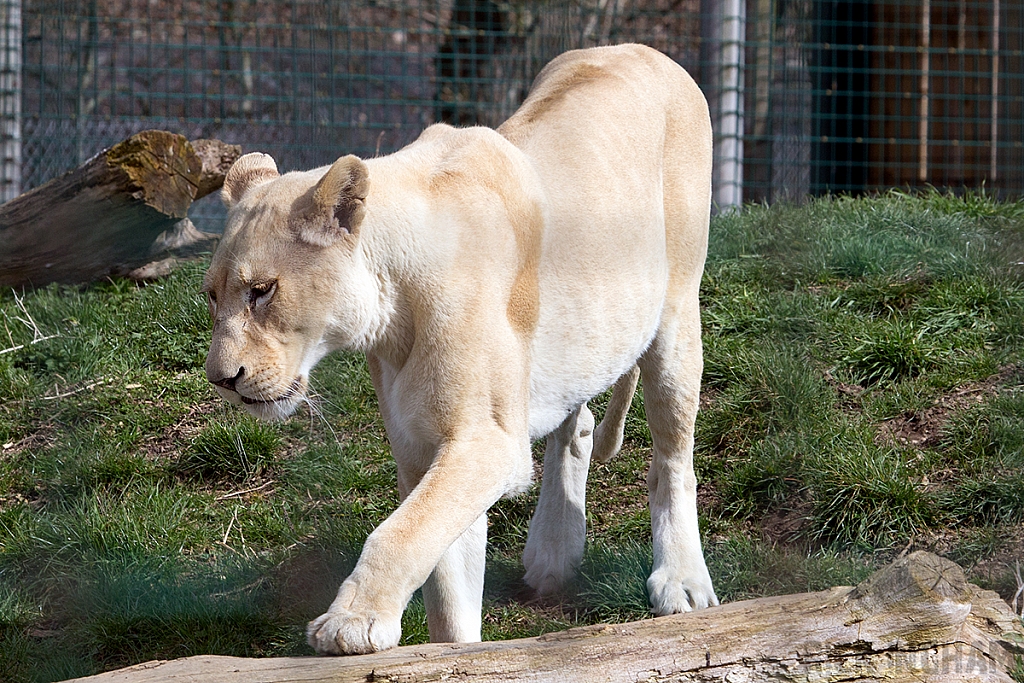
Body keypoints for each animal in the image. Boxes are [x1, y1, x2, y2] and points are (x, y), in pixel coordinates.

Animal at [203, 44, 716, 655]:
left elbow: (403, 531)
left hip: (677, 315)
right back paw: (553, 554)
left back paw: (681, 581)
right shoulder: (425, 447)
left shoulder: (485, 440)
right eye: (212, 295)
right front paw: (453, 652)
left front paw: (352, 621)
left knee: (673, 460)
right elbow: (446, 581)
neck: (392, 317)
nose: (221, 378)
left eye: (263, 291)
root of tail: (644, 50)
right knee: (578, 423)